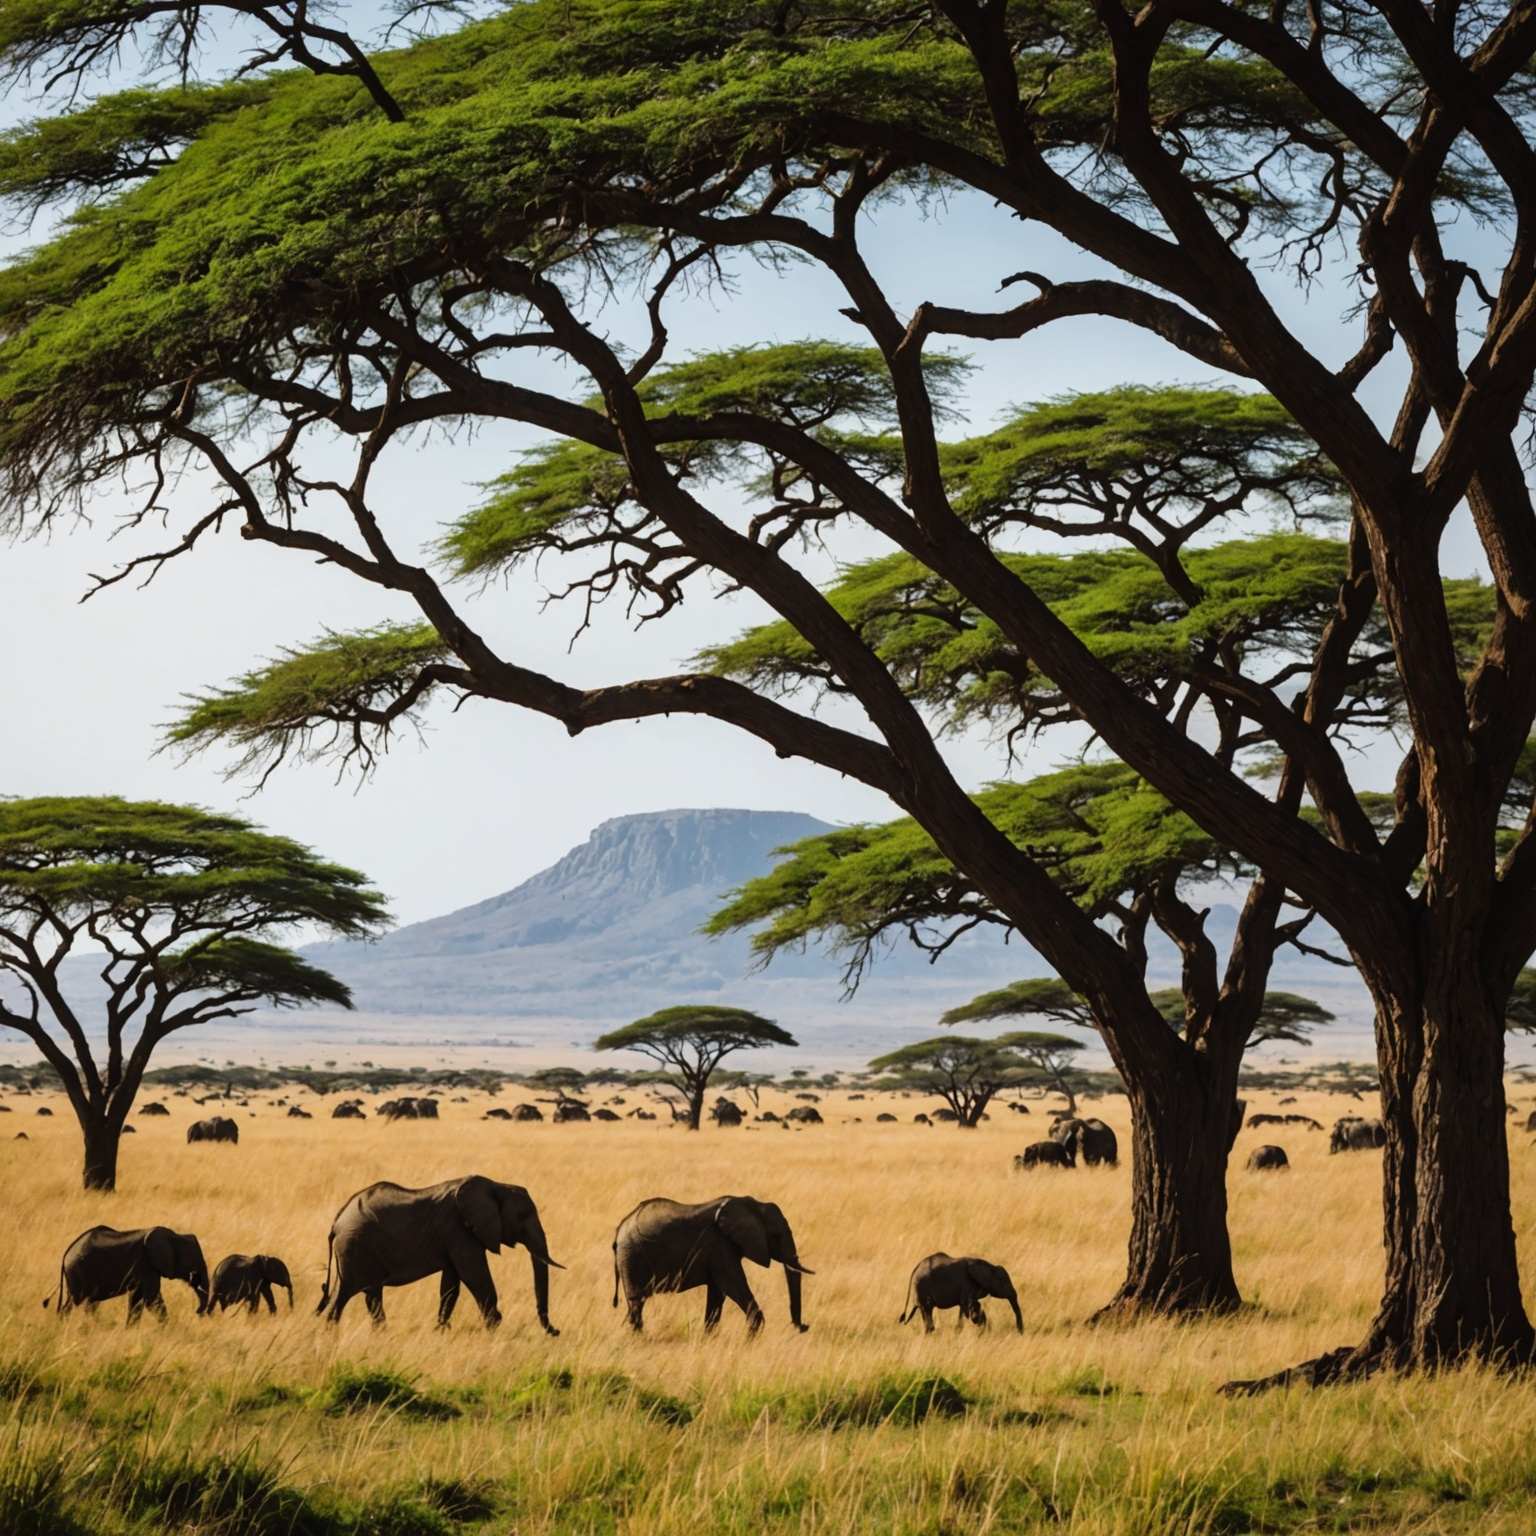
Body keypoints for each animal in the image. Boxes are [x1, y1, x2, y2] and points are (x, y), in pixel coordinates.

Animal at [44, 1222, 208, 1320]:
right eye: (194, 1260)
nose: (197, 1312)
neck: (174, 1236)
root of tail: (66, 1254)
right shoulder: (147, 1265)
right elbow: (151, 1300)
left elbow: (137, 1299)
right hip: (77, 1273)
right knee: (73, 1302)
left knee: (90, 1304)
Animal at [314, 1173, 562, 1333]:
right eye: (522, 1217)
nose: (554, 1331)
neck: (497, 1185)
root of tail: (337, 1221)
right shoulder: (458, 1230)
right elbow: (474, 1275)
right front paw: (495, 1327)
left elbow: (451, 1284)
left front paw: (441, 1330)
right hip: (354, 1248)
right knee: (344, 1293)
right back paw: (331, 1334)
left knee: (369, 1294)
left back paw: (380, 1333)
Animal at [608, 1185, 811, 1333]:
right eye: (776, 1236)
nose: (804, 1326)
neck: (752, 1204)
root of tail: (619, 1229)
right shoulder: (719, 1245)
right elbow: (732, 1286)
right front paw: (751, 1336)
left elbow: (717, 1293)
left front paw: (708, 1338)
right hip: (632, 1258)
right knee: (637, 1303)